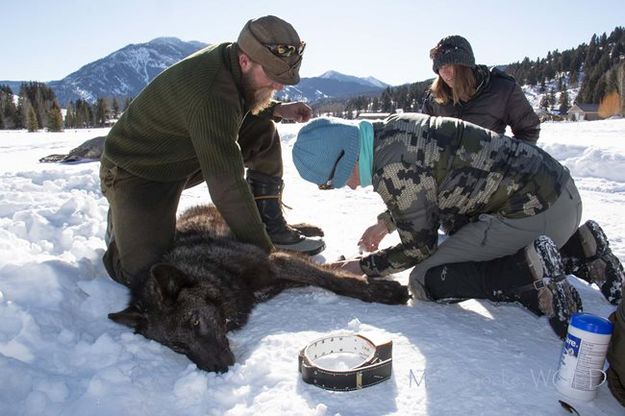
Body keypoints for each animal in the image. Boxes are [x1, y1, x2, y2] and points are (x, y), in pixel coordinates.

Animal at [108, 206, 410, 372]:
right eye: (177, 346)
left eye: (194, 321)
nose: (219, 369)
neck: (213, 270)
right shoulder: (278, 272)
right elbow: (327, 273)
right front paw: (344, 265)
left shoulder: (274, 261)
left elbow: (332, 280)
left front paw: (383, 291)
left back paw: (307, 228)